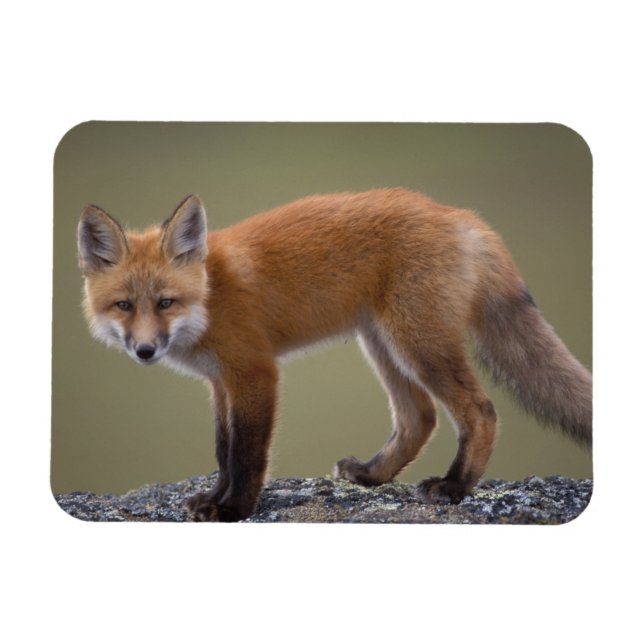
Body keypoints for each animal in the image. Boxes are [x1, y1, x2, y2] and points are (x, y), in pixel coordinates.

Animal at [77, 188, 592, 522]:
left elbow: (246, 454)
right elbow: (224, 450)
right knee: (419, 418)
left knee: (480, 412)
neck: (211, 295)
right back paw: (372, 474)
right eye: (124, 305)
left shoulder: (256, 372)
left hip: (417, 344)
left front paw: (233, 508)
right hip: (382, 343)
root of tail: (460, 214)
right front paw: (213, 497)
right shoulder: (221, 382)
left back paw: (454, 486)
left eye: (166, 302)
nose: (145, 350)